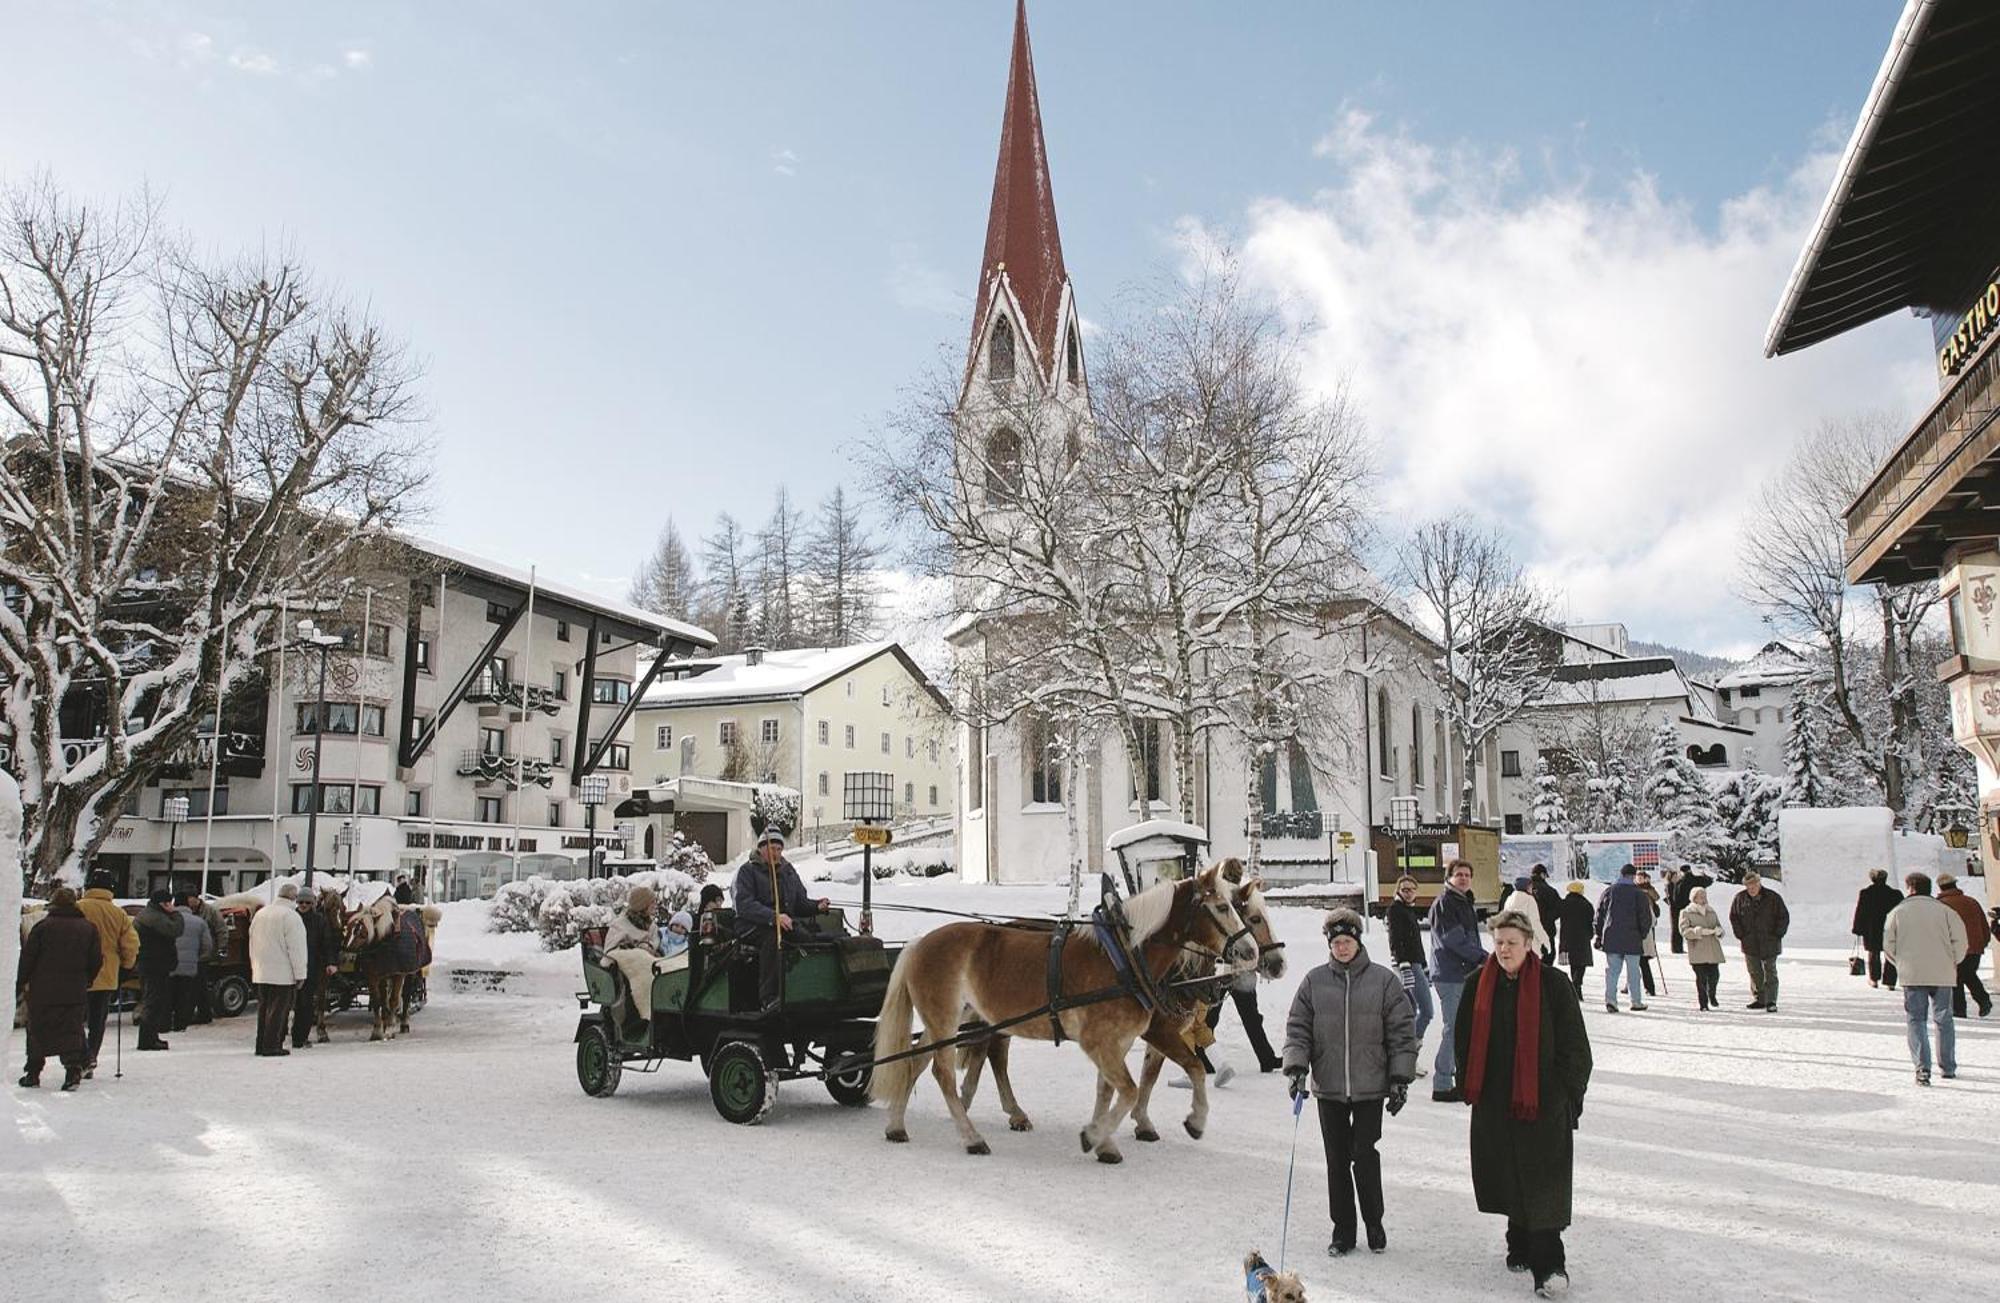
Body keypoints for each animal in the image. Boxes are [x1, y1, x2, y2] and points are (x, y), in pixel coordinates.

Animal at [872, 863, 1248, 1159]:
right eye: (1221, 907)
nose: (1249, 951)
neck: (1123, 959)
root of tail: (919, 943)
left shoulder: (1118, 1043)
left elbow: (1111, 1090)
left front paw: (1106, 1142)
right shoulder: (1100, 1042)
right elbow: (1131, 1089)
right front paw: (1094, 1135)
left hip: (952, 1021)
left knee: (917, 1060)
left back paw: (896, 1125)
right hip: (946, 1019)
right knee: (943, 1073)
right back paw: (971, 1136)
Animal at [960, 859, 1288, 1143]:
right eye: (1252, 916)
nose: (1275, 963)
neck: (1135, 958)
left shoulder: (1145, 1032)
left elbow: (1143, 1076)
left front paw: (1128, 1123)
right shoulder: (1156, 1030)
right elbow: (1178, 1068)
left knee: (987, 1049)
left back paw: (985, 1102)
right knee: (992, 1052)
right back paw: (988, 1105)